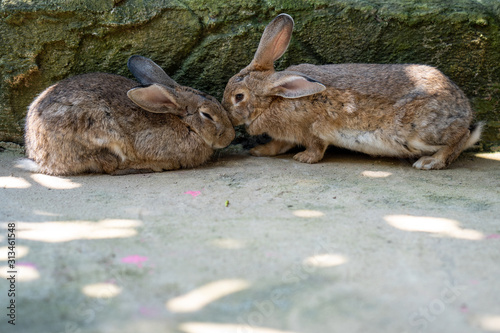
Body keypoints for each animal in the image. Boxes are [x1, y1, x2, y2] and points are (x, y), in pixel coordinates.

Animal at [23, 55, 234, 175]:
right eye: (207, 115)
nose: (231, 137)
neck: (185, 124)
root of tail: (40, 159)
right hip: (101, 132)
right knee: (110, 166)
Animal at [223, 13, 480, 169]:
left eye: (239, 97)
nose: (226, 114)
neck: (275, 99)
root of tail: (465, 112)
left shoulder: (313, 129)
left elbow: (316, 147)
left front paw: (304, 158)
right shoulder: (286, 135)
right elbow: (278, 145)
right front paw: (259, 151)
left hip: (422, 133)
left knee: (459, 138)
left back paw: (429, 162)